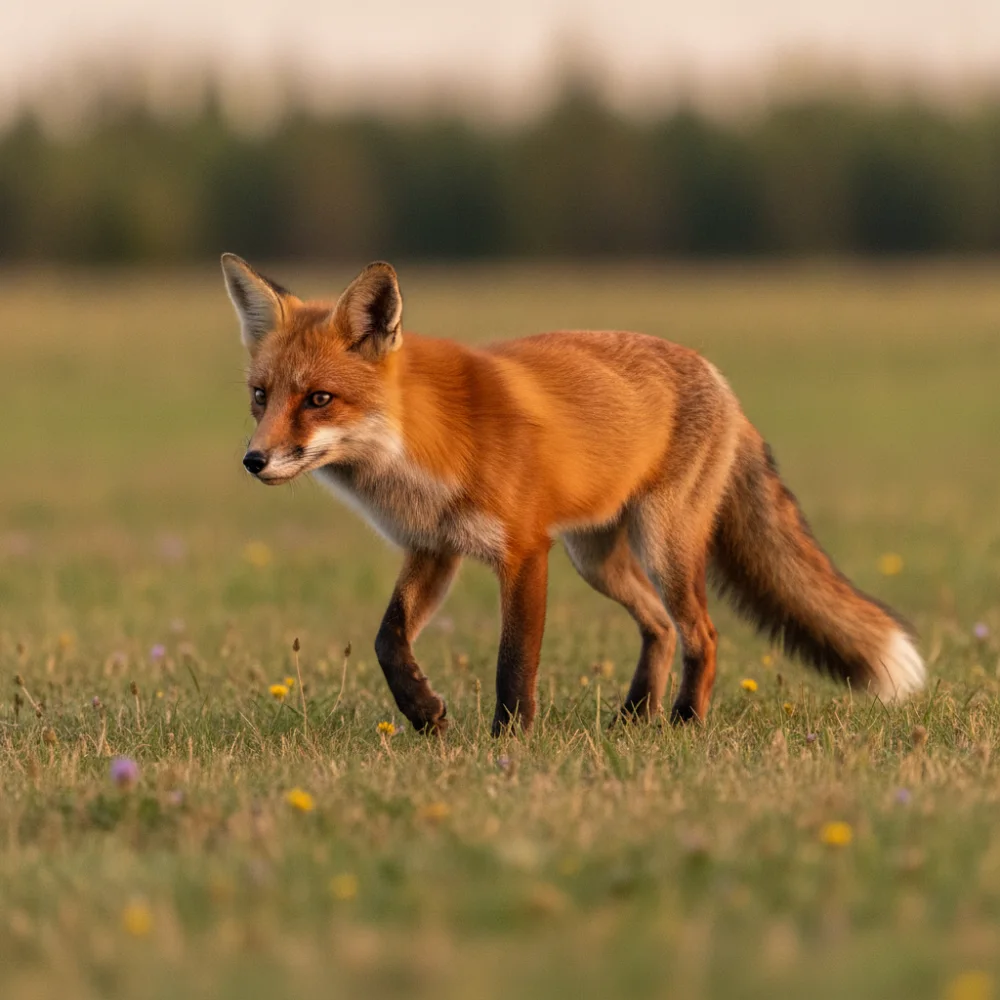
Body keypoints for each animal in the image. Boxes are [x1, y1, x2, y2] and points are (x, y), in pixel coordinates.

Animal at [221, 254, 925, 735]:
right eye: (260, 396)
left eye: (319, 399)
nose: (253, 460)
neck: (420, 448)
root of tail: (720, 379)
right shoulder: (434, 549)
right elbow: (388, 640)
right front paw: (424, 713)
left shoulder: (526, 552)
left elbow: (514, 663)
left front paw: (508, 743)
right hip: (597, 560)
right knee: (659, 626)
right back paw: (636, 718)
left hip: (662, 545)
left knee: (701, 632)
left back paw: (683, 723)